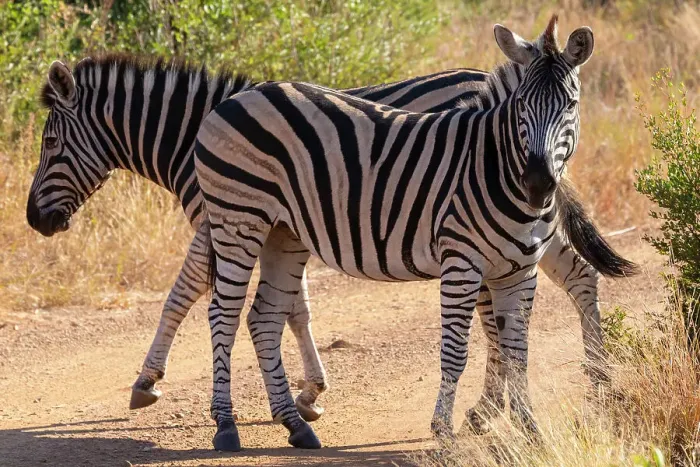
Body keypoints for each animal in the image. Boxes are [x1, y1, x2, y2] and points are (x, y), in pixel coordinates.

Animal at [191, 15, 598, 450]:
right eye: (522, 104)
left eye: (571, 105)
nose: (537, 183)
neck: (493, 166)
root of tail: (237, 98)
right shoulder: (462, 262)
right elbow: (456, 351)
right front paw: (442, 430)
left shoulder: (520, 271)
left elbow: (518, 350)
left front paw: (529, 430)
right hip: (238, 218)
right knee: (223, 314)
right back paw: (226, 426)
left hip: (283, 233)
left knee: (264, 318)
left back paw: (296, 426)